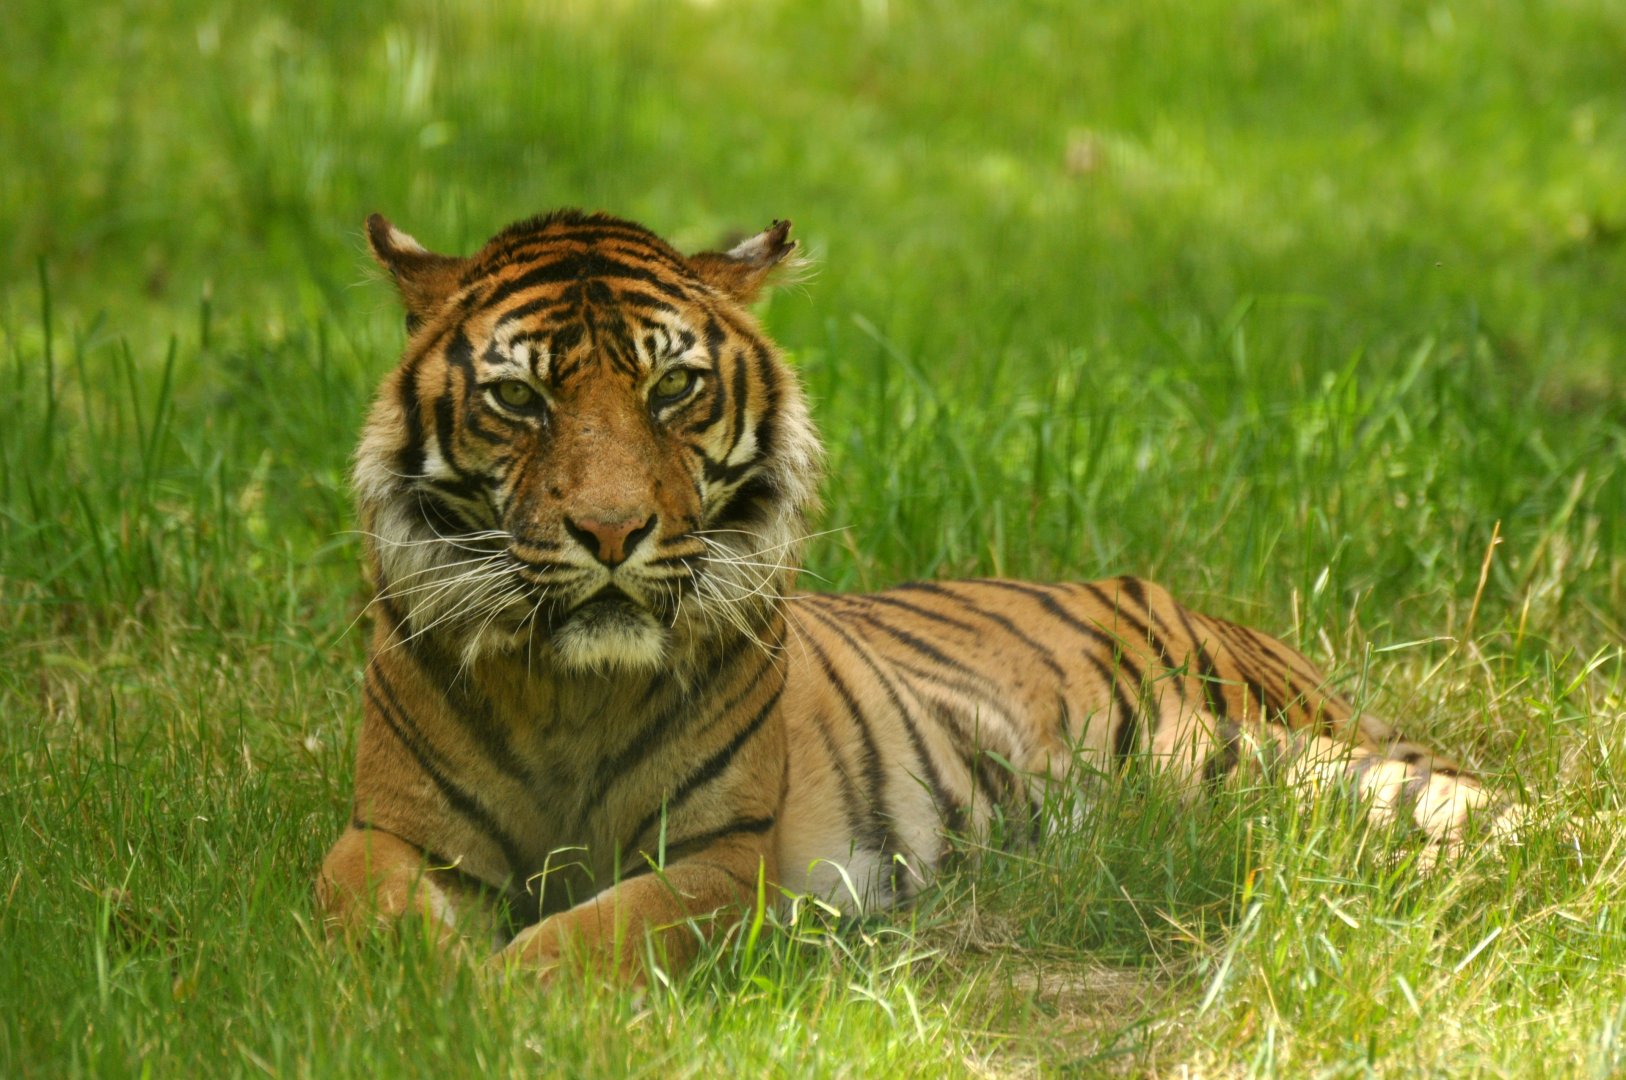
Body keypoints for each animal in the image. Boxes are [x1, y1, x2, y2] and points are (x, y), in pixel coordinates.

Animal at [317, 208, 1522, 979]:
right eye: (518, 400)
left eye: (674, 387)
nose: (612, 532)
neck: (571, 688)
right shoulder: (397, 834)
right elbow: (362, 908)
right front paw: (427, 996)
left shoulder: (719, 859)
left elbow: (595, 936)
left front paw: (502, 1001)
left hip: (1272, 750)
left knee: (1485, 806)